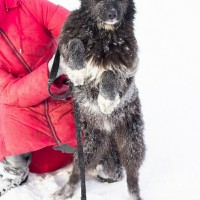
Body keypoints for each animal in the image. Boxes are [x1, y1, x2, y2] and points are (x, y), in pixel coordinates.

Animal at [53, 0, 145, 199]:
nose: (112, 15)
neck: (102, 33)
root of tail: (109, 134)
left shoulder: (128, 66)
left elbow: (109, 73)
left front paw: (106, 101)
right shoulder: (64, 48)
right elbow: (75, 43)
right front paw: (78, 70)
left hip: (131, 141)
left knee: (132, 176)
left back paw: (134, 195)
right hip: (88, 146)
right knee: (76, 172)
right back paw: (65, 190)